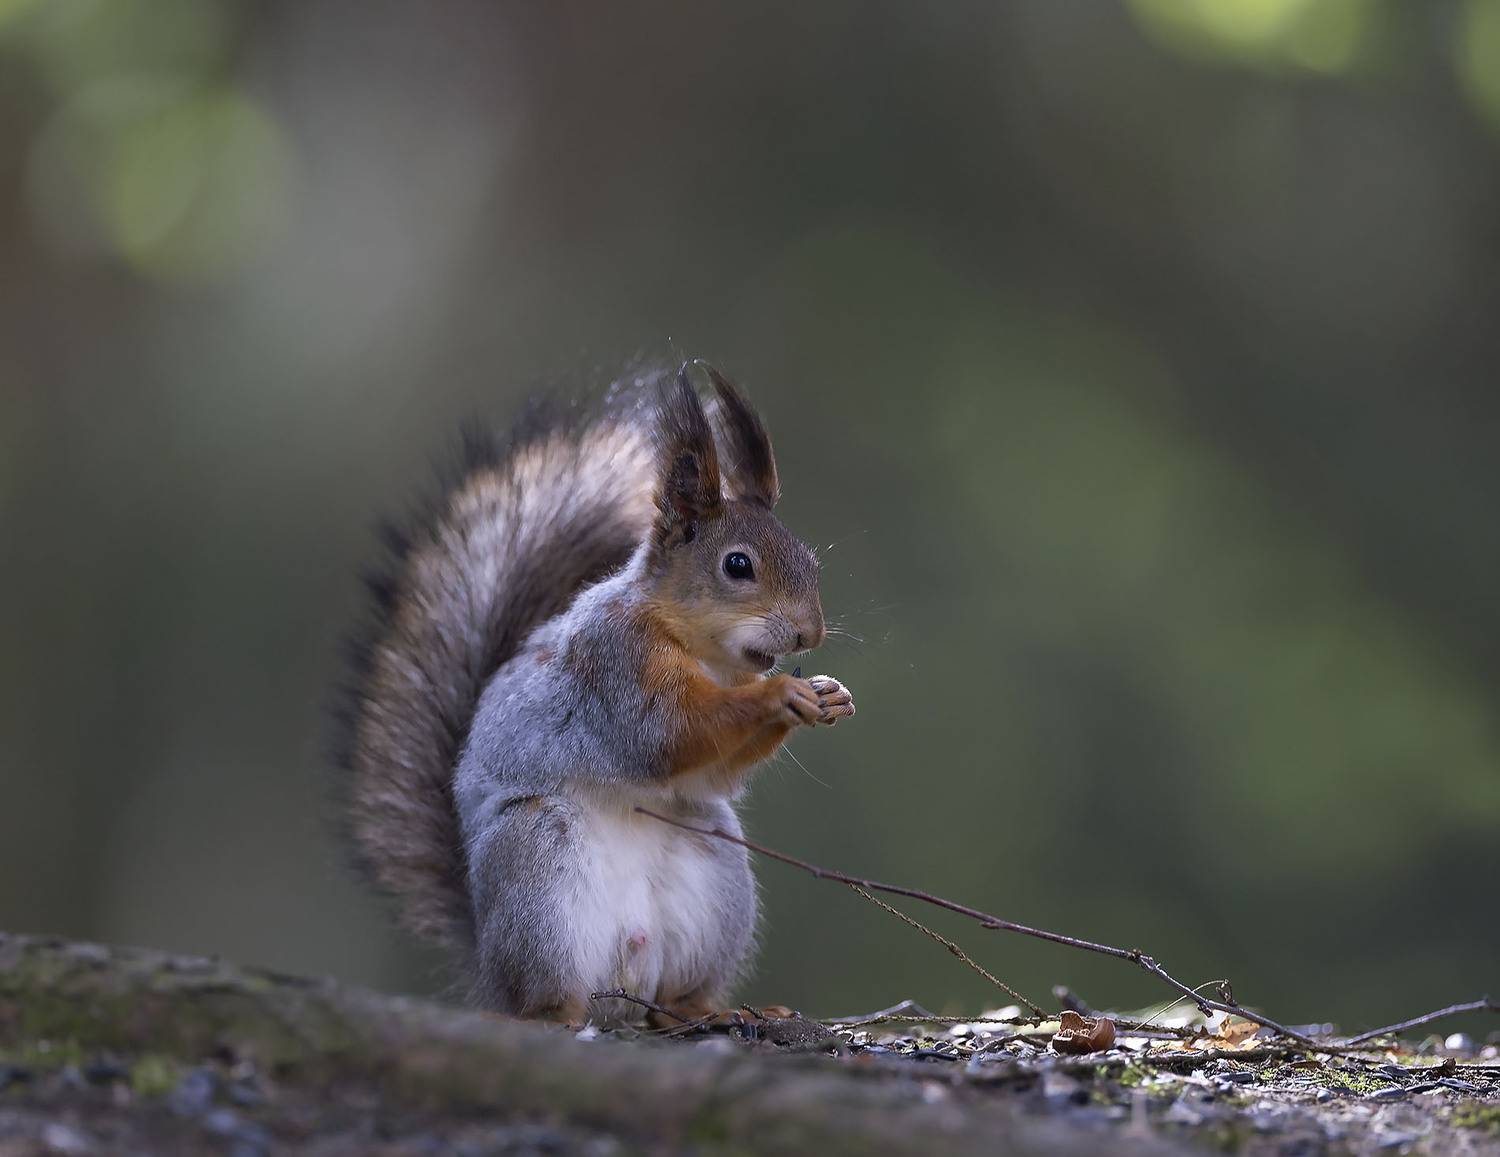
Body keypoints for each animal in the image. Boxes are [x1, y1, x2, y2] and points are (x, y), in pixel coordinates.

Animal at [338, 362, 855, 1025]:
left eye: (811, 562)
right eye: (737, 565)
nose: (809, 633)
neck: (704, 654)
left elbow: (709, 773)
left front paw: (830, 695)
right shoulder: (616, 664)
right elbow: (665, 734)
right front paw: (782, 693)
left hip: (713, 875)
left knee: (673, 998)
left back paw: (711, 1010)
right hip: (537, 873)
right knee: (546, 997)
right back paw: (557, 1012)